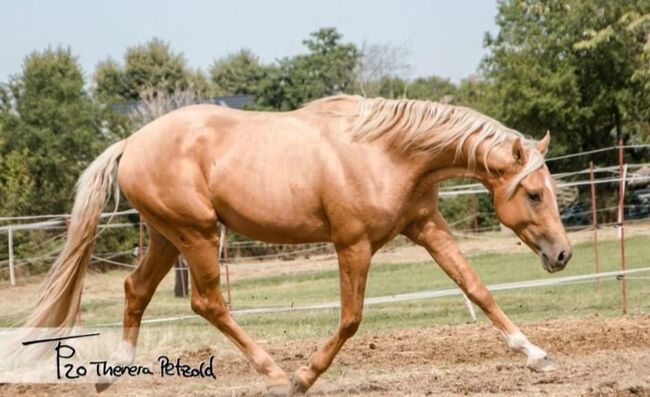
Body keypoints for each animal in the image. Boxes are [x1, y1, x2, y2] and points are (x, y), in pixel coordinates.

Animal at [25, 94, 568, 394]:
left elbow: (476, 288)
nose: (562, 254)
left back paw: (112, 373)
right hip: (195, 235)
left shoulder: (426, 226)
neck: (386, 152)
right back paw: (272, 374)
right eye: (534, 193)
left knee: (136, 290)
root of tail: (131, 143)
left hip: (165, 236)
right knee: (208, 302)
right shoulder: (353, 245)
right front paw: (304, 377)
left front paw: (536, 354)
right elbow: (351, 318)